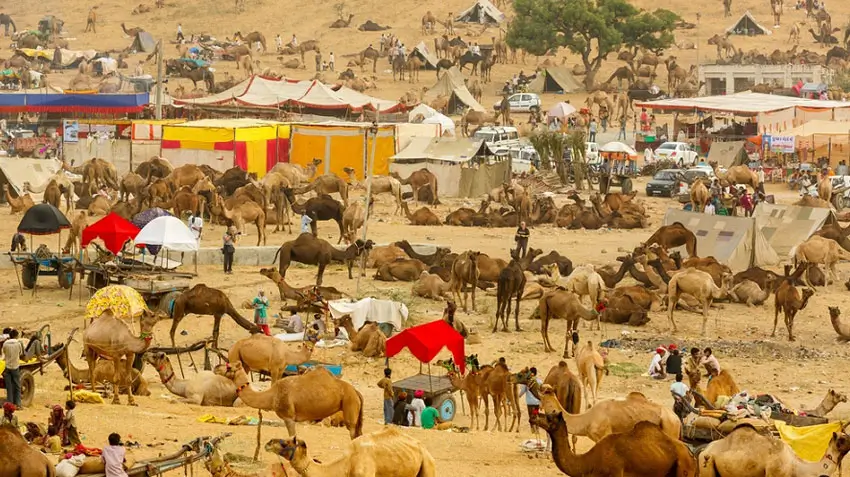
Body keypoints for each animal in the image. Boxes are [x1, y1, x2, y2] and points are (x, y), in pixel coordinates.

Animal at [228, 362, 364, 438]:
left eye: (228, 367)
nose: (219, 367)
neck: (272, 394)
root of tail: (356, 392)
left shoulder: (289, 417)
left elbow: (293, 438)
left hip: (350, 405)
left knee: (352, 432)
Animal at [534, 412, 695, 477]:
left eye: (549, 418)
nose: (534, 416)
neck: (589, 462)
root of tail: (690, 453)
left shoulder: (614, 472)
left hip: (684, 467)